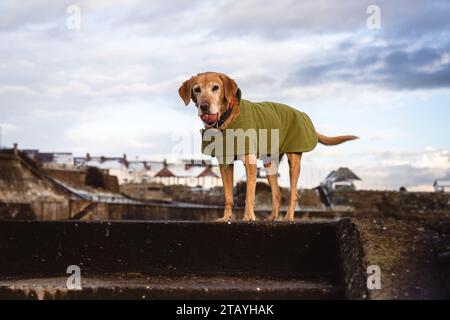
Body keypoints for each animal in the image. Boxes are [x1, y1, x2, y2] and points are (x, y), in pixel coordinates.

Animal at [178, 72, 356, 222]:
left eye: (216, 87)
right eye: (197, 90)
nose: (204, 106)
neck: (226, 120)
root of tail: (302, 114)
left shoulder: (249, 162)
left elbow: (249, 194)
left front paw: (248, 217)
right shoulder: (225, 164)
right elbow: (228, 196)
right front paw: (226, 218)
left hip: (294, 162)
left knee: (294, 194)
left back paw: (288, 217)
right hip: (270, 164)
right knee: (277, 194)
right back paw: (272, 217)